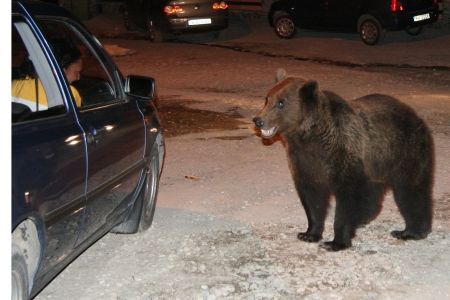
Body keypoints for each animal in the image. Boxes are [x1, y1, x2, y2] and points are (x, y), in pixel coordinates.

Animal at [253, 69, 432, 251]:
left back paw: (410, 231)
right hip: (374, 163)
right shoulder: (304, 160)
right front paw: (308, 233)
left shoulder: (342, 153)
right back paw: (364, 219)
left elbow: (347, 198)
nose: (258, 120)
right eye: (267, 98)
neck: (309, 137)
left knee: (410, 190)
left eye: (281, 103)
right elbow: (312, 197)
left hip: (405, 151)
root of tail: (413, 113)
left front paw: (335, 242)